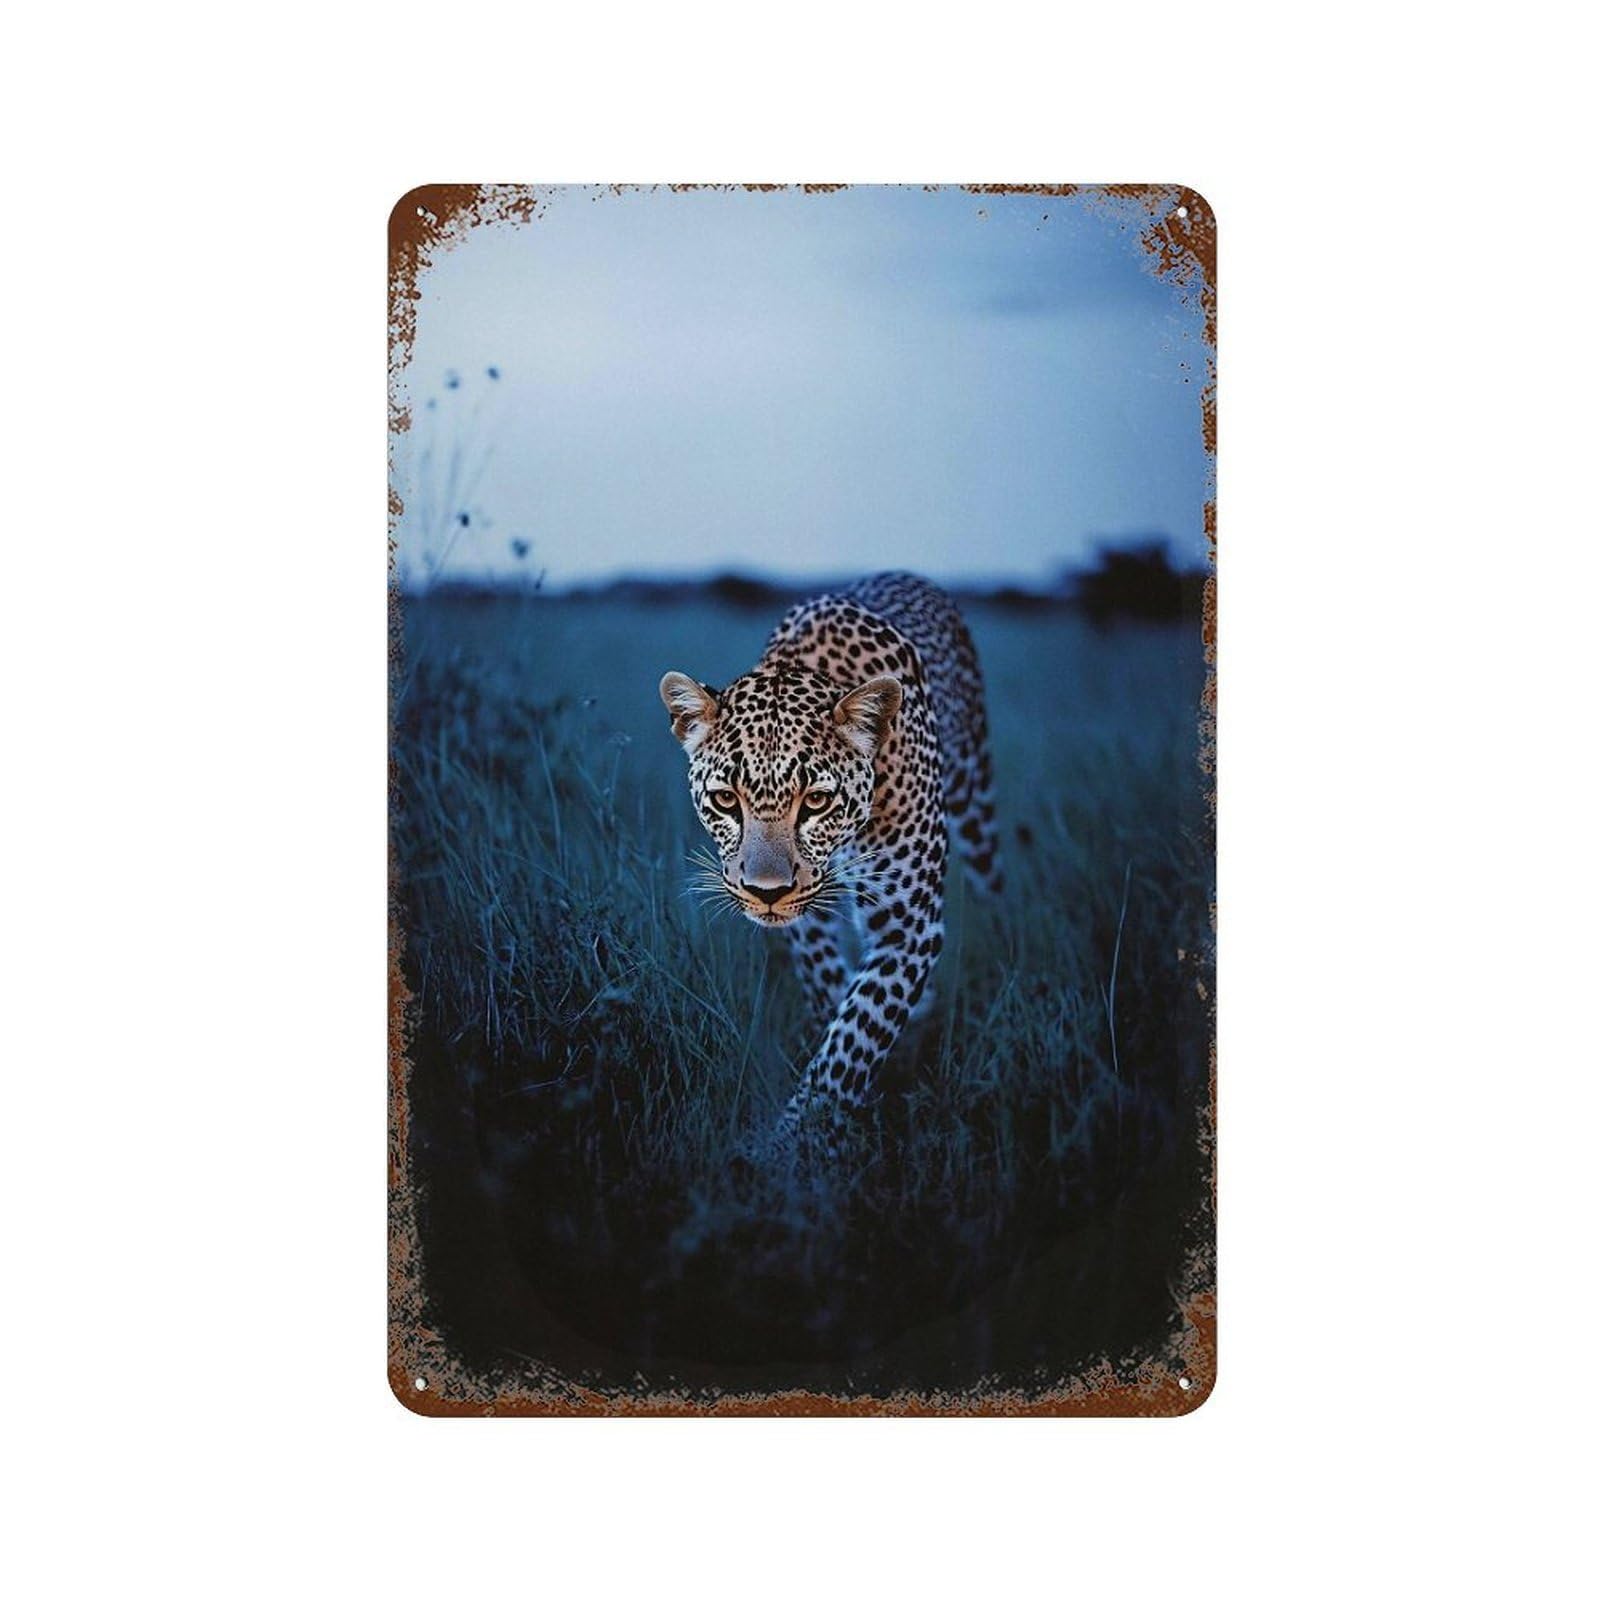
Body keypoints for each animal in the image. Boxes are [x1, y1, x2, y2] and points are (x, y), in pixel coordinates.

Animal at [659, 571, 1004, 1142]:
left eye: (816, 801)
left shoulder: (907, 925)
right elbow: (831, 992)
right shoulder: (806, 921)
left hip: (976, 800)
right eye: (726, 800)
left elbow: (857, 1033)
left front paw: (797, 1143)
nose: (766, 893)